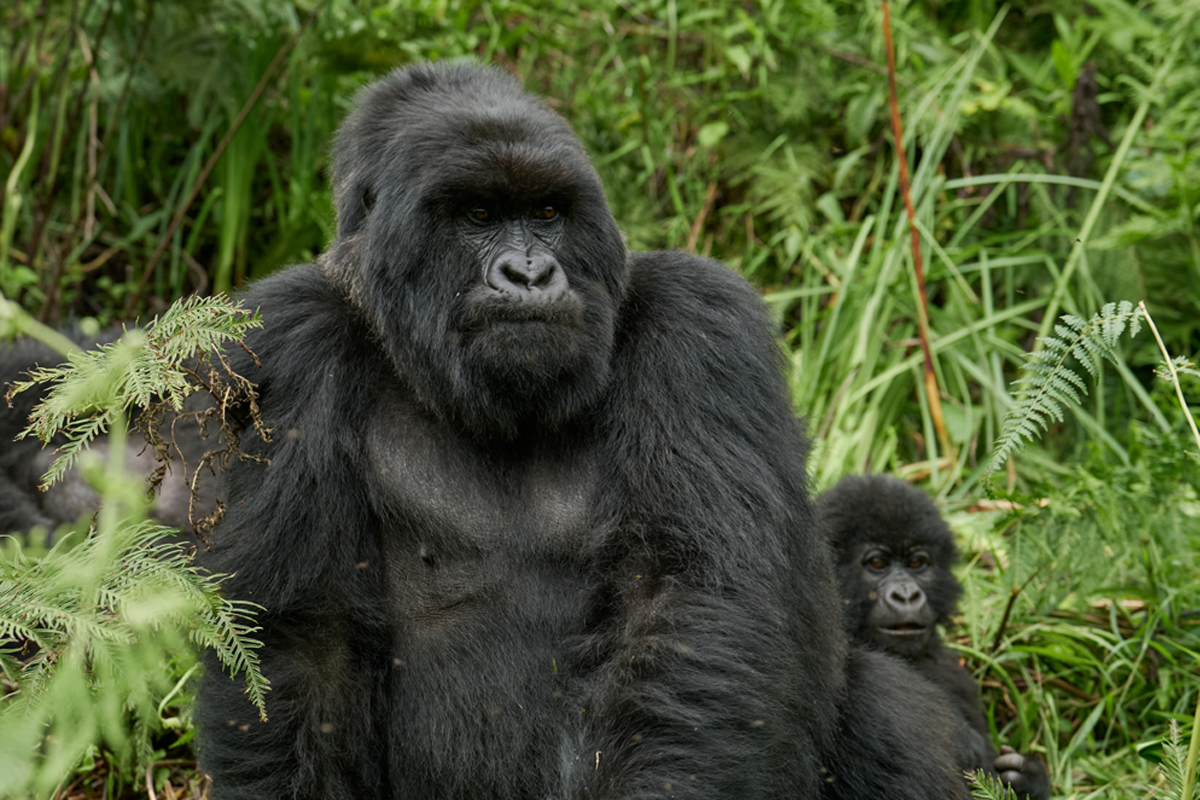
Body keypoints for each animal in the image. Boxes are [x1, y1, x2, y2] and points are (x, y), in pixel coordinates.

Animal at [192, 64, 964, 800]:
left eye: (547, 212)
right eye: (478, 214)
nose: (530, 272)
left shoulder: (699, 322)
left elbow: (694, 604)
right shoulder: (287, 342)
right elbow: (299, 646)